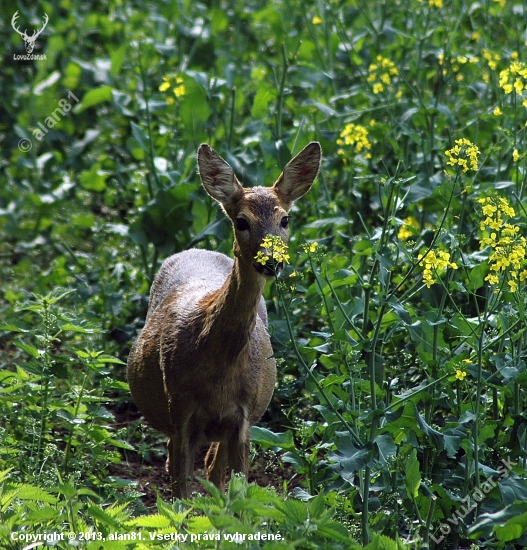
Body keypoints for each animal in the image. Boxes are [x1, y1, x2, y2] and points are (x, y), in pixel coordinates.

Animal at [128, 142, 322, 500]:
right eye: (242, 221)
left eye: (285, 219)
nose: (271, 261)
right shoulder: (180, 412)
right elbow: (180, 496)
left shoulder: (244, 418)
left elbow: (239, 493)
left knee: (214, 469)